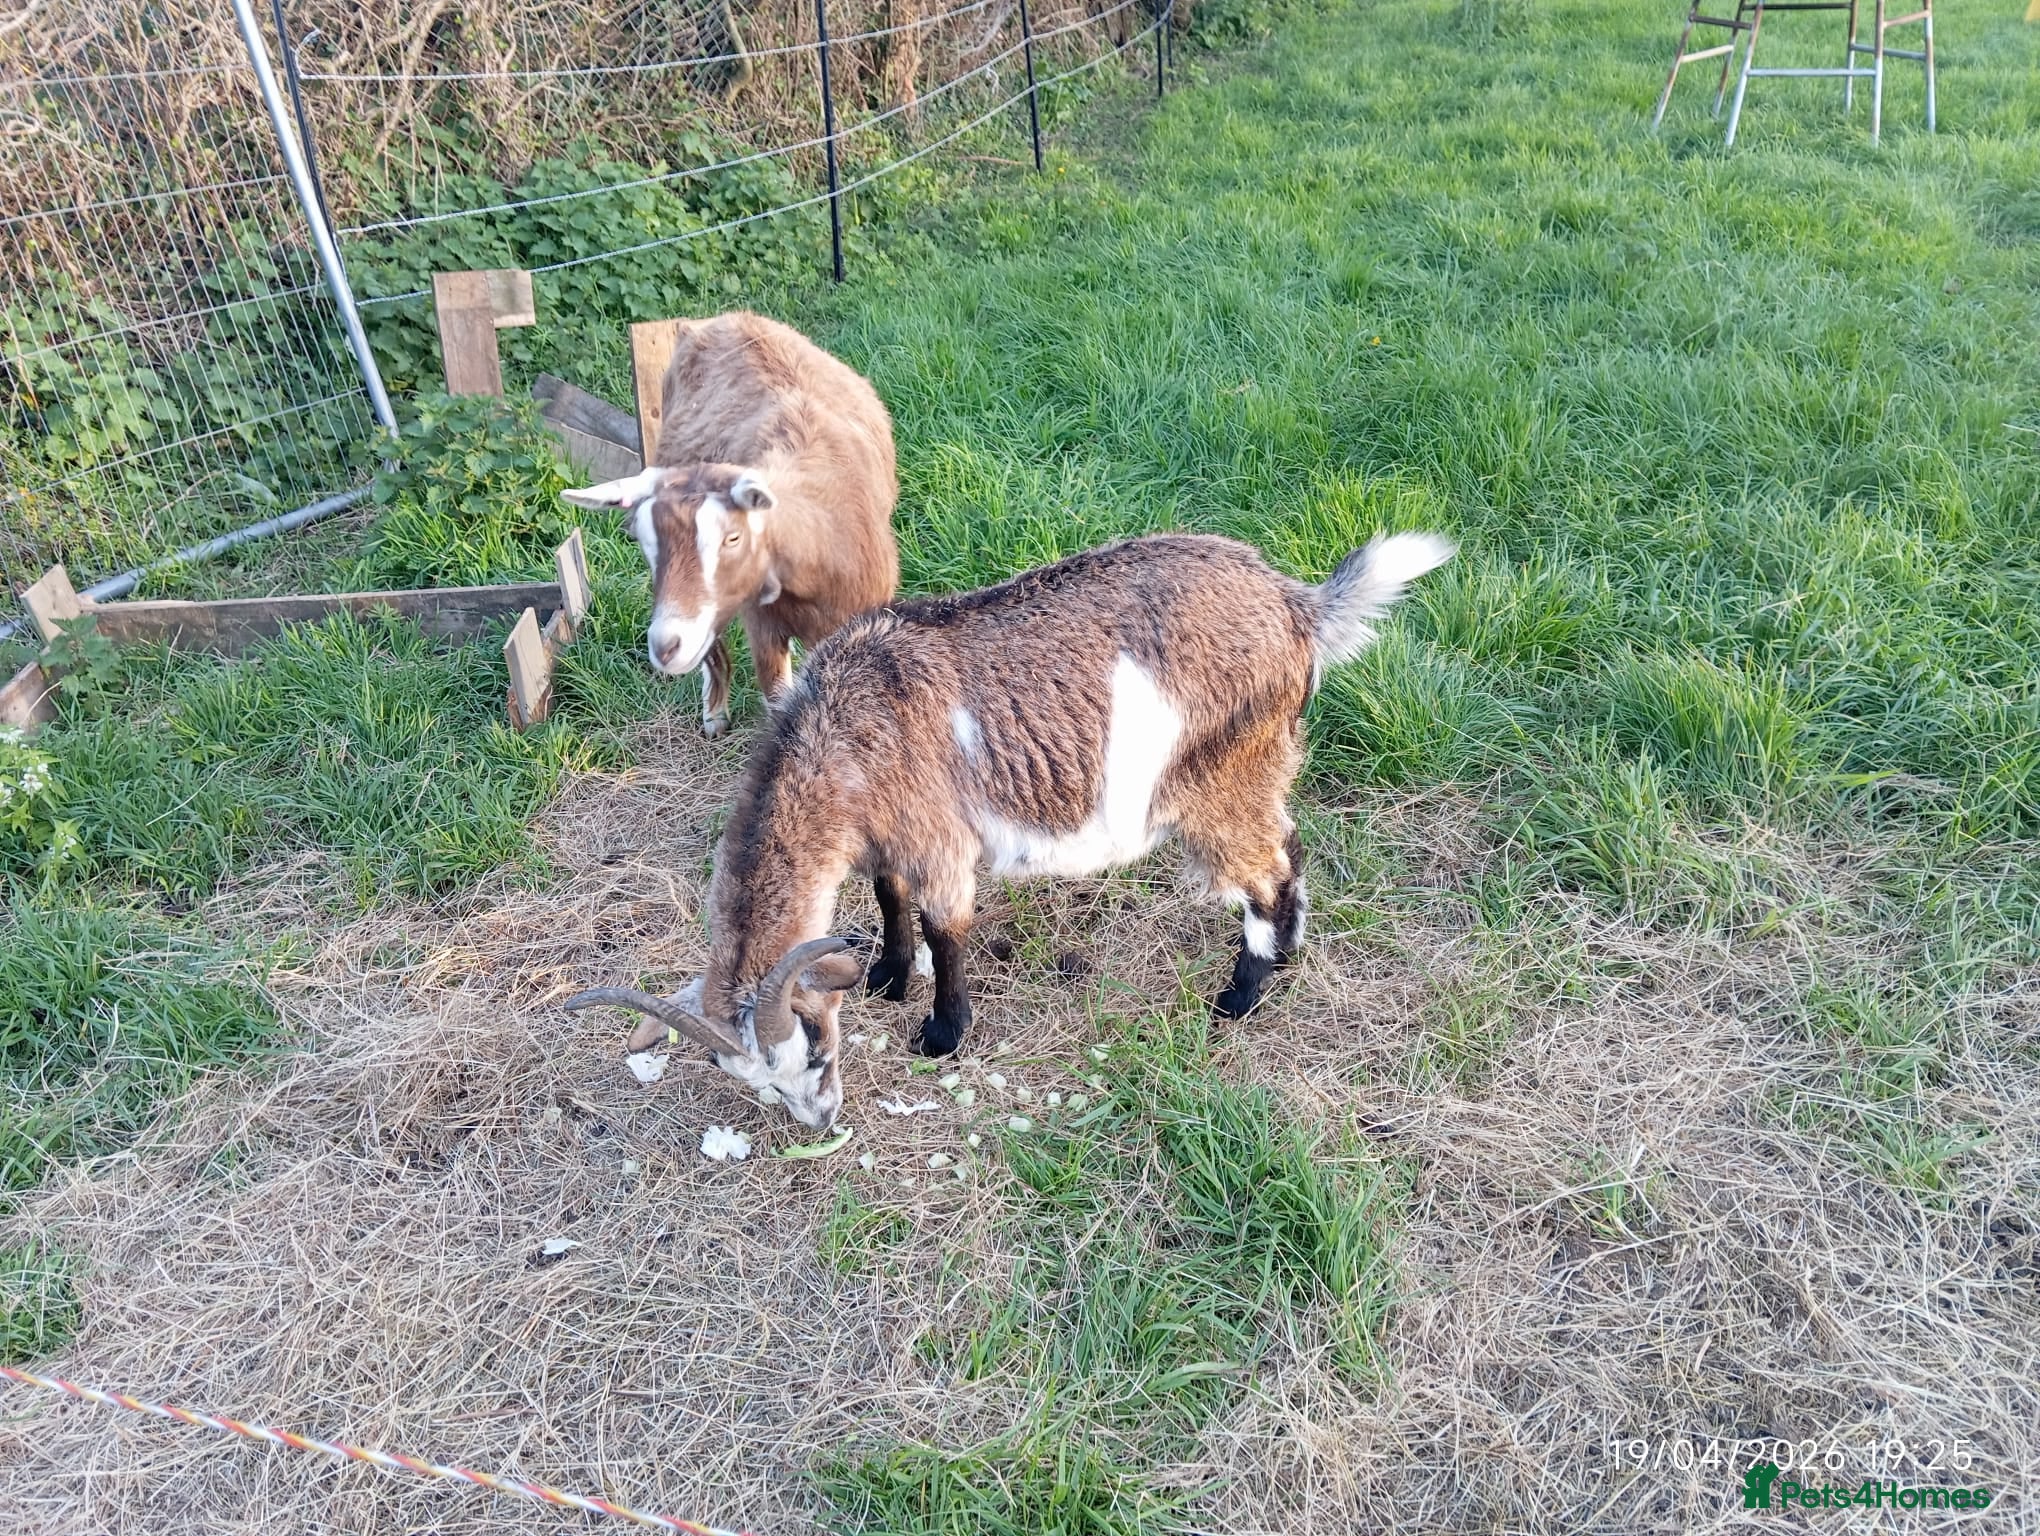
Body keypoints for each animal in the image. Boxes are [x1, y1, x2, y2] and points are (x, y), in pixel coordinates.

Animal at [560, 311, 898, 737]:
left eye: (733, 537)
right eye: (642, 541)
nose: (665, 646)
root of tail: (723, 318)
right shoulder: (763, 630)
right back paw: (715, 714)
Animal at [565, 530, 1453, 1130]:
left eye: (814, 1045)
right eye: (756, 1080)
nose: (821, 1120)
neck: (847, 732)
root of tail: (1298, 604)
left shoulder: (938, 834)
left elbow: (945, 924)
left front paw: (942, 1031)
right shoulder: (890, 837)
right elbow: (889, 899)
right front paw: (888, 974)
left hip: (1222, 777)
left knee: (1263, 870)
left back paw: (1239, 996)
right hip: (1261, 768)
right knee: (1289, 848)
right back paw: (1287, 953)